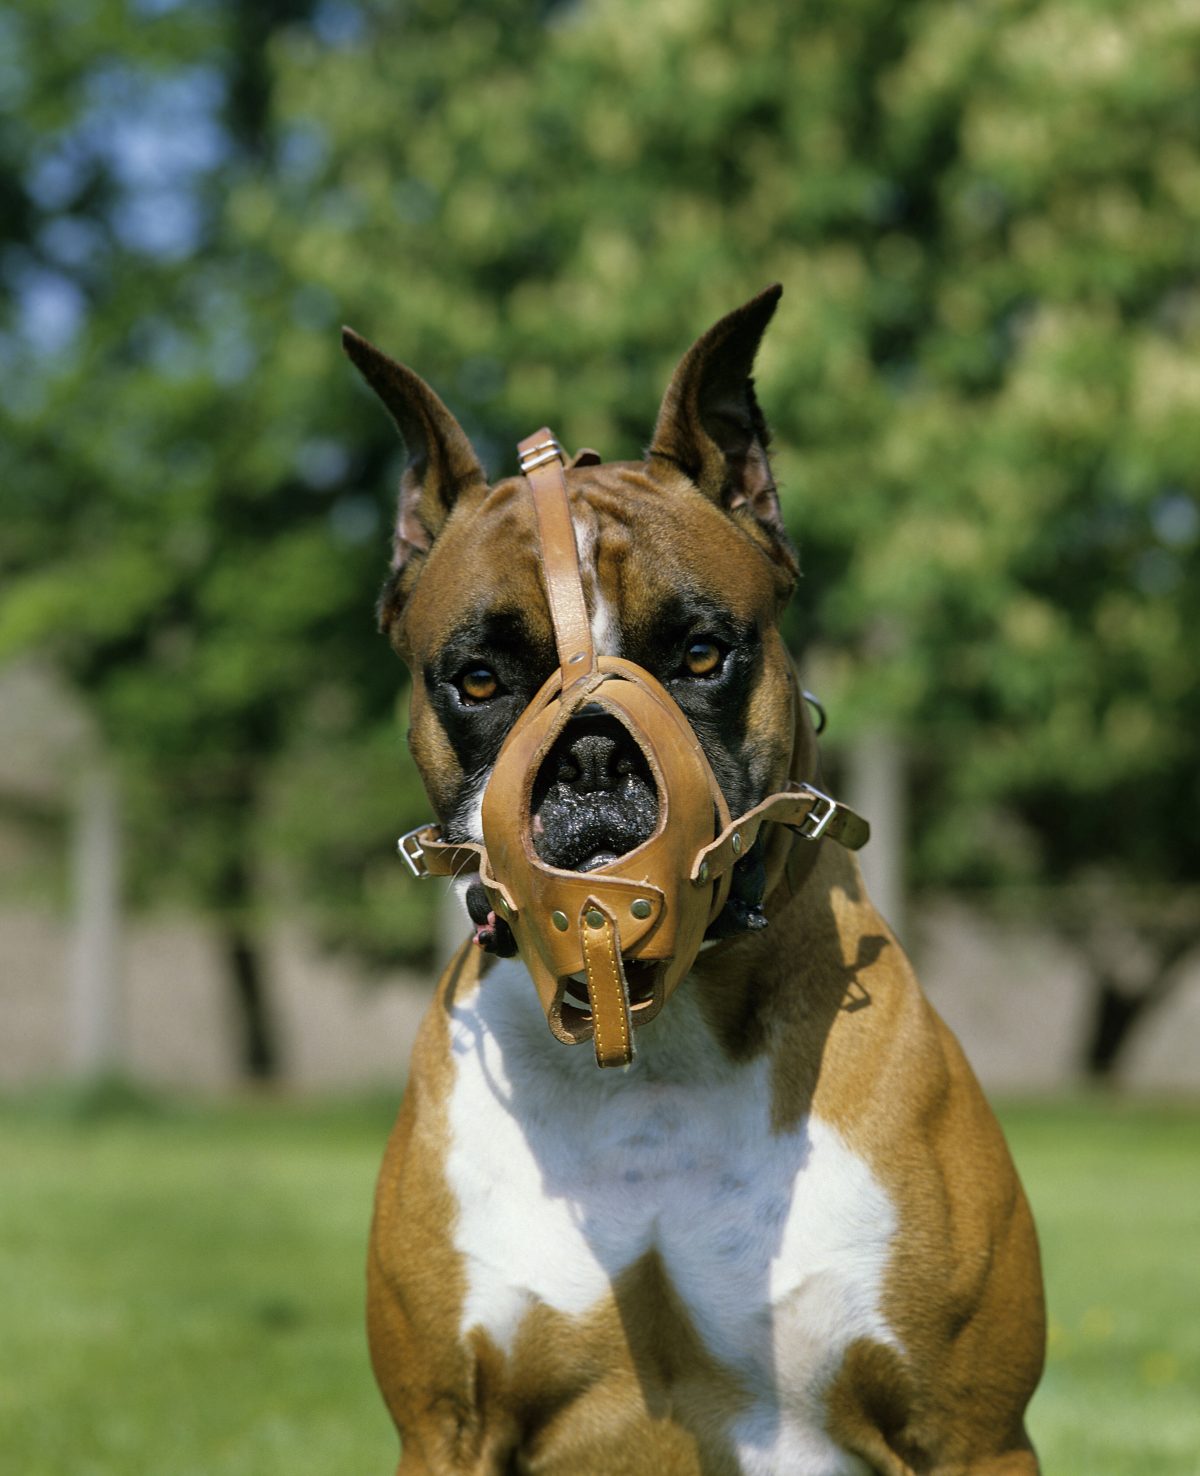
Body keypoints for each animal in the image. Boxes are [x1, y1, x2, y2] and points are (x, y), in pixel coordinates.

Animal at [342, 287, 1045, 1476]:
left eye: (703, 654)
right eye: (478, 679)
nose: (590, 757)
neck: (654, 1054)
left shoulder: (972, 1435)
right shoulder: (445, 1428)